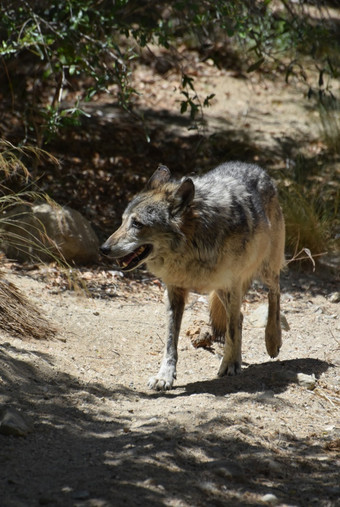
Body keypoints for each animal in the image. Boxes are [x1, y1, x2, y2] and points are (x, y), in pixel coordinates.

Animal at [100, 161, 284, 390]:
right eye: (123, 221)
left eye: (138, 224)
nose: (103, 249)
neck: (192, 244)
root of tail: (257, 168)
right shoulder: (175, 292)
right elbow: (170, 341)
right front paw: (164, 376)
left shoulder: (232, 284)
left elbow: (232, 330)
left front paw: (230, 364)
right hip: (222, 290)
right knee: (240, 316)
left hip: (264, 270)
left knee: (275, 293)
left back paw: (272, 340)